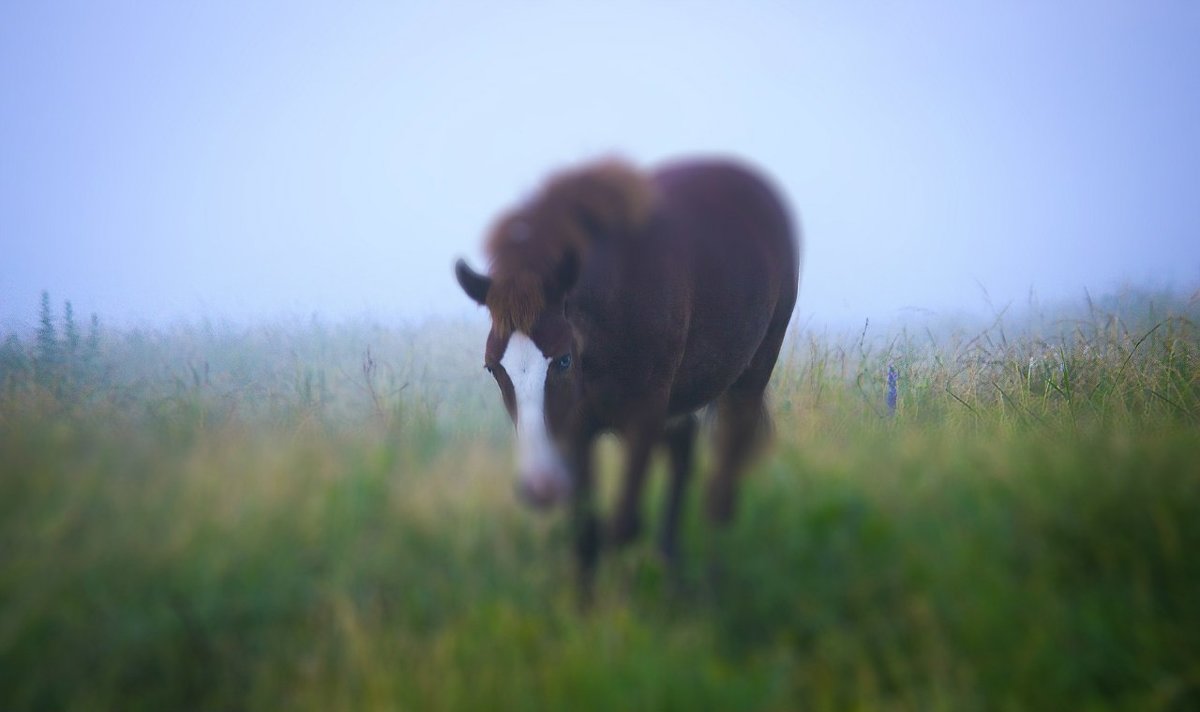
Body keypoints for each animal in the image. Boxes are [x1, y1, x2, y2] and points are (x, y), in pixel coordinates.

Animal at [453, 156, 801, 588]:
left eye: (563, 360)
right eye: (492, 368)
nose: (540, 488)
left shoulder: (643, 418)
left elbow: (623, 526)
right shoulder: (577, 429)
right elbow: (586, 534)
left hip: (747, 384)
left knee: (720, 492)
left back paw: (710, 584)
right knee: (684, 455)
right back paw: (673, 573)